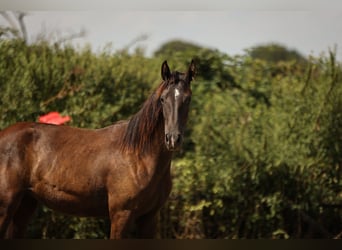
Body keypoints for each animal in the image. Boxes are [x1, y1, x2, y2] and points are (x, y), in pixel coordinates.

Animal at [0, 59, 196, 239]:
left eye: (188, 99)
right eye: (163, 99)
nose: (173, 139)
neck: (140, 157)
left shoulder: (149, 218)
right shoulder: (121, 215)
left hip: (26, 204)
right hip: (6, 207)